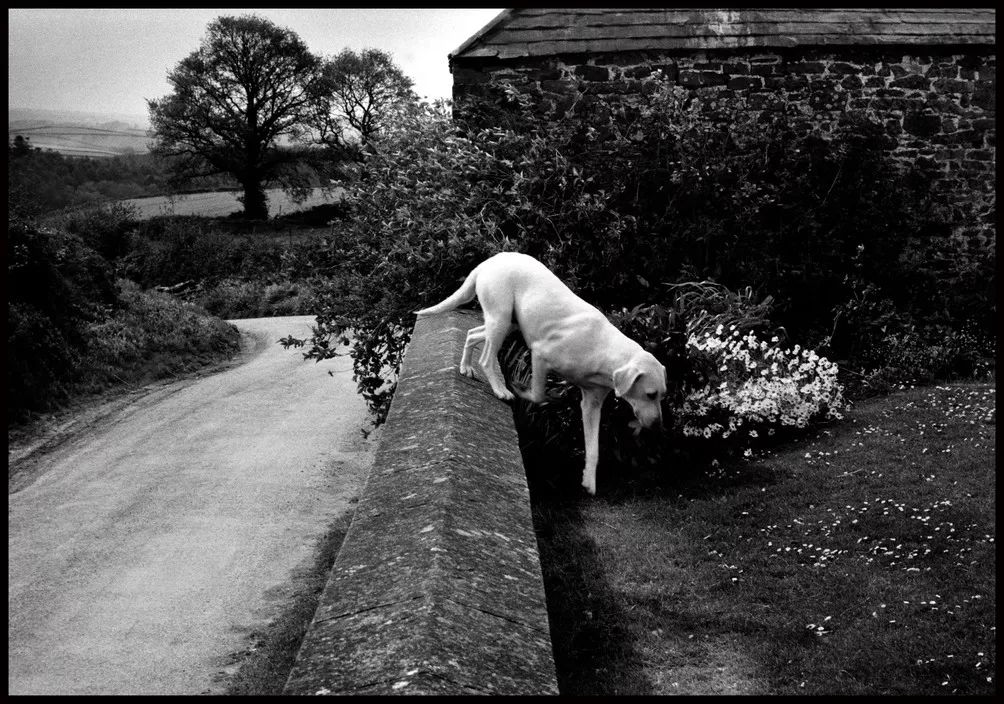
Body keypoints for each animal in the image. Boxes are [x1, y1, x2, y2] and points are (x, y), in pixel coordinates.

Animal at [415, 253, 666, 494]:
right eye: (650, 394)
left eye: (662, 396)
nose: (657, 426)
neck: (605, 349)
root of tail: (489, 262)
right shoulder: (540, 354)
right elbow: (538, 395)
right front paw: (520, 390)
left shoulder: (592, 405)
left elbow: (594, 449)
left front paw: (588, 481)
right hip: (501, 318)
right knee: (486, 359)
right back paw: (500, 389)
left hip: (507, 324)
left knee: (471, 334)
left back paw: (466, 367)